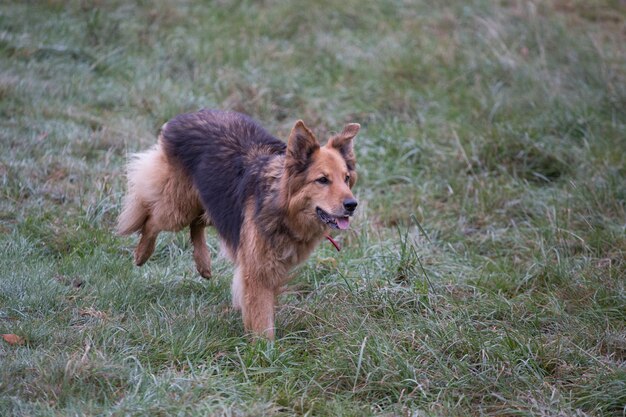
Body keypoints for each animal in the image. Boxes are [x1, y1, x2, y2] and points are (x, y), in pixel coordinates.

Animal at [117, 110, 358, 338]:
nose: (352, 205)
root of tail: (184, 117)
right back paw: (142, 253)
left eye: (346, 178)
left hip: (212, 201)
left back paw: (203, 263)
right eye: (322, 180)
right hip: (178, 208)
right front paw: (265, 350)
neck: (281, 205)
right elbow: (262, 319)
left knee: (196, 223)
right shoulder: (257, 271)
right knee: (152, 219)